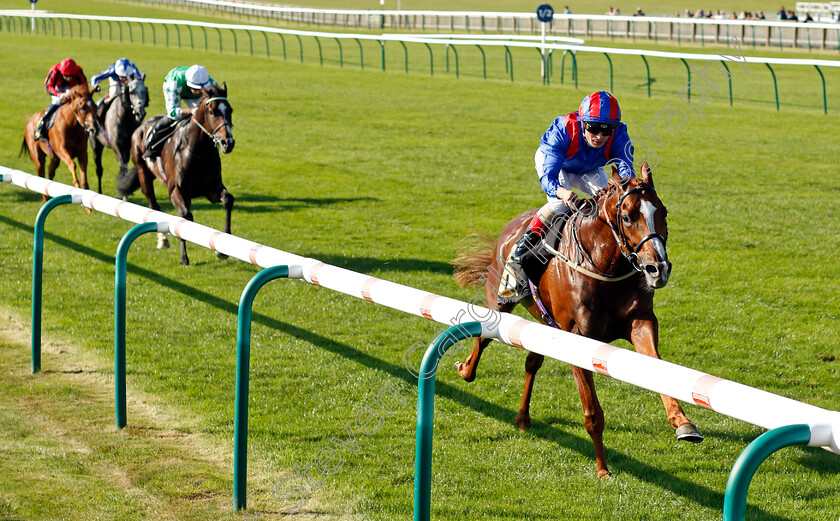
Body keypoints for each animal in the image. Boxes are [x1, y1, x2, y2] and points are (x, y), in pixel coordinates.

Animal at [128, 84, 235, 268]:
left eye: (230, 110)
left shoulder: (211, 188)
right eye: (212, 112)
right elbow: (185, 217)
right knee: (153, 206)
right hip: (143, 173)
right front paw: (184, 258)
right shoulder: (176, 191)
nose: (227, 142)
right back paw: (162, 240)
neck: (198, 152)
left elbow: (228, 199)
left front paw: (221, 249)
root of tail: (142, 126)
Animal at [452, 165, 704, 478]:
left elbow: (658, 368)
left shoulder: (641, 321)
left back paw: (522, 417)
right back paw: (465, 369)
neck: (605, 267)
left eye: (664, 212)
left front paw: (683, 423)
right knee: (483, 337)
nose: (658, 268)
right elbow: (593, 412)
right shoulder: (576, 338)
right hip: (500, 302)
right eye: (626, 217)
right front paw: (603, 468)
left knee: (532, 362)